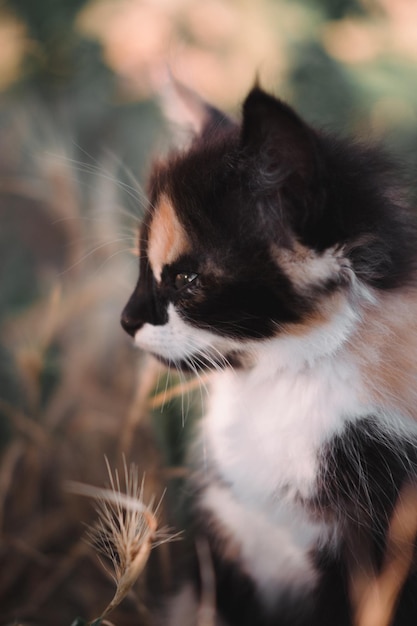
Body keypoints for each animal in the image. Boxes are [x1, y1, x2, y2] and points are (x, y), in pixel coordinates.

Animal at [120, 88, 417, 624]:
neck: (279, 386)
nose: (127, 319)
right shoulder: (228, 548)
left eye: (187, 280)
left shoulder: (370, 556)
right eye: (142, 270)